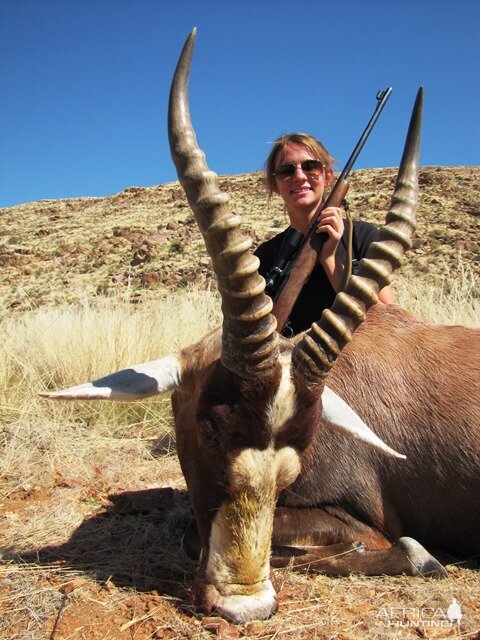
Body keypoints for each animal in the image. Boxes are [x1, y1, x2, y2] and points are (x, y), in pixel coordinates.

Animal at [42, 31, 480, 624]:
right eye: (207, 429)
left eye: (297, 461)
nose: (245, 604)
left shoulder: (364, 522)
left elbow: (403, 550)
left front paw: (416, 557)